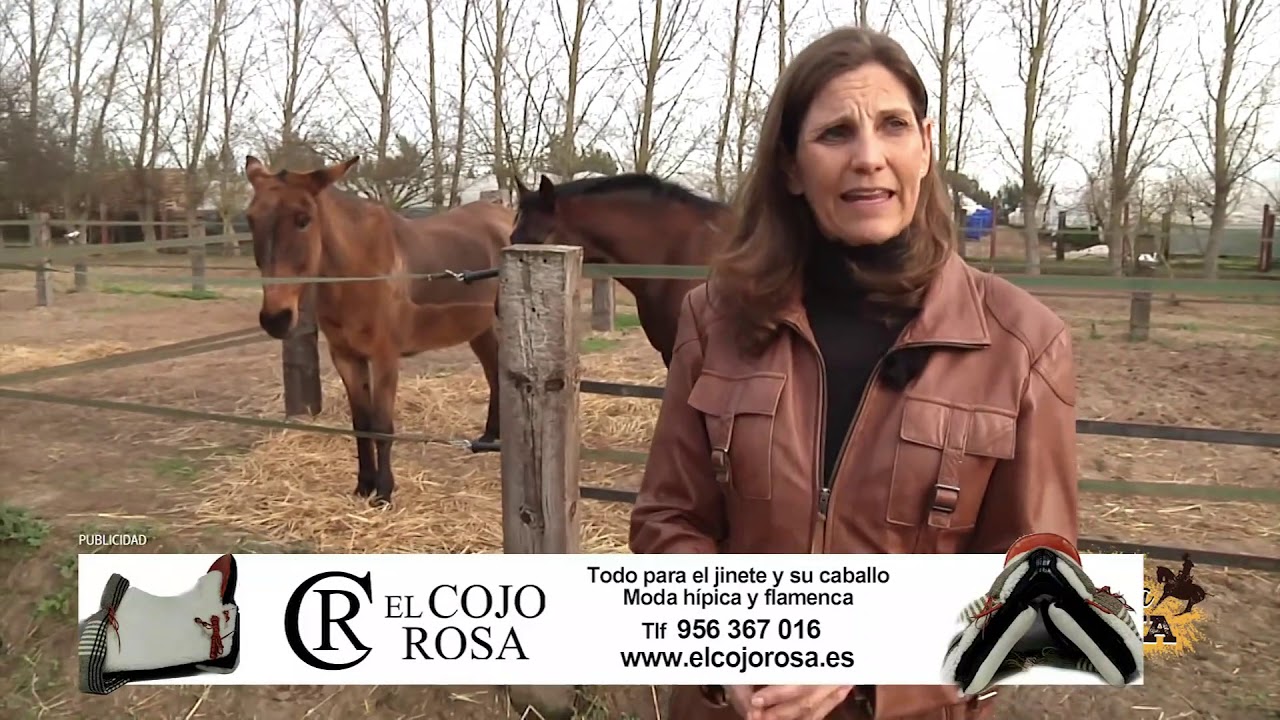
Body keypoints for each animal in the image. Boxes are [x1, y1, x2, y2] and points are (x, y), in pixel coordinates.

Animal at [243, 154, 512, 507]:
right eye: (250, 219)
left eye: (304, 219)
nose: (276, 318)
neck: (358, 274)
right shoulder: (346, 357)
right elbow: (361, 423)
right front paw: (364, 485)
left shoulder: (384, 357)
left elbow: (382, 426)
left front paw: (384, 491)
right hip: (480, 330)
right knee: (493, 372)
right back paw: (490, 437)